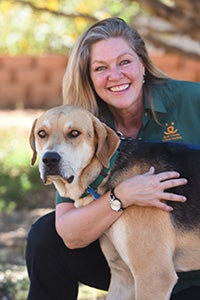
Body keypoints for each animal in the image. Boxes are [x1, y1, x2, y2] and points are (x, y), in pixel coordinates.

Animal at [29, 104, 200, 298]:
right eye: (42, 133)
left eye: (74, 133)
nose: (49, 159)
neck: (106, 171)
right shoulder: (123, 275)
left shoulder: (154, 276)